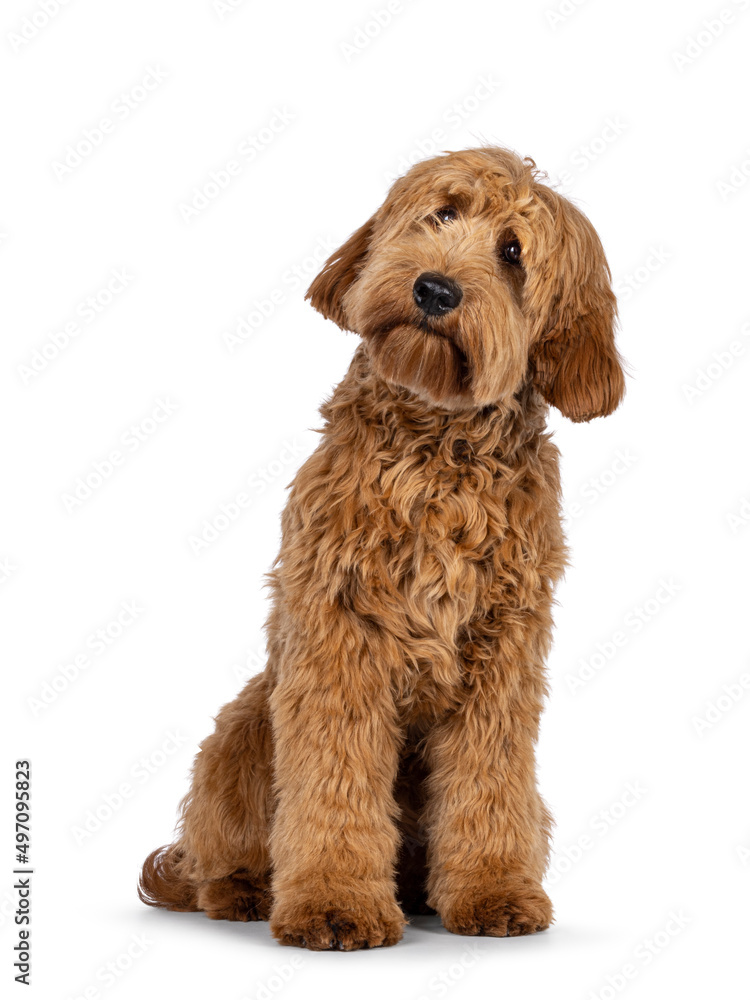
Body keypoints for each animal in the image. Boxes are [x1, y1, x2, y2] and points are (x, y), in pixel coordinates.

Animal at [141, 145, 628, 948]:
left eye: (513, 253)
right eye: (442, 213)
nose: (434, 288)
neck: (438, 450)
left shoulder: (505, 653)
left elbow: (489, 781)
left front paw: (493, 889)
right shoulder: (339, 637)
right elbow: (333, 780)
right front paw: (333, 901)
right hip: (245, 725)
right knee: (222, 853)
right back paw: (245, 891)